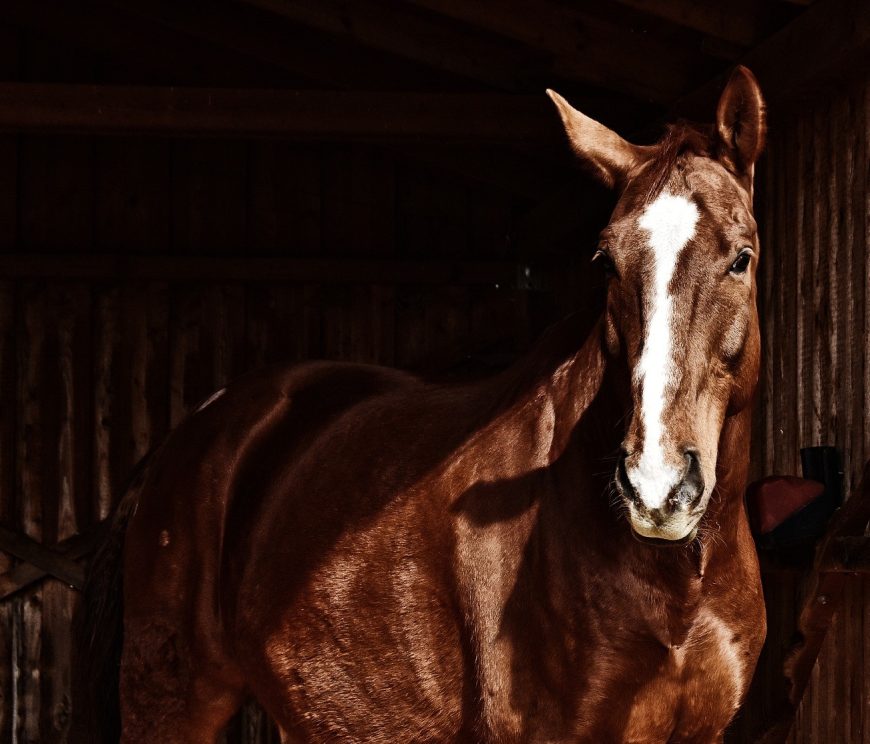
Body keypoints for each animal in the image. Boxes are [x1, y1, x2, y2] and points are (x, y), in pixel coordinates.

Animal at [75, 67, 768, 740]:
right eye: (605, 261)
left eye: (741, 258)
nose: (655, 487)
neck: (676, 582)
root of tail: (192, 430)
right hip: (172, 703)